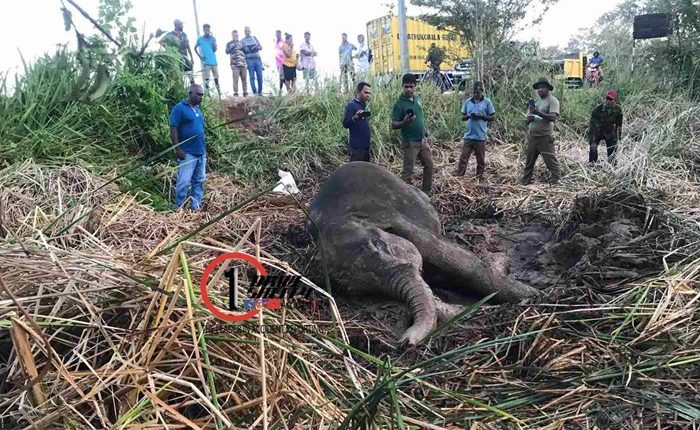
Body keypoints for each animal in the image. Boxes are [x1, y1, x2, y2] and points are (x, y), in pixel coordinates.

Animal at [307, 162, 539, 345]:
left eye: (378, 245)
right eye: (356, 288)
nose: (404, 341)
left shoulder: (392, 217)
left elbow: (453, 258)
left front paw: (535, 296)